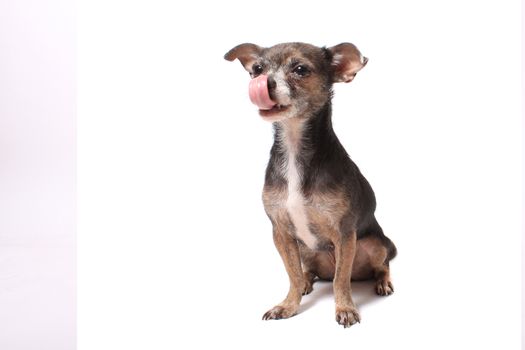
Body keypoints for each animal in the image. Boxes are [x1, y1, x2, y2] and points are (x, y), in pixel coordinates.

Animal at [223, 42, 396, 326]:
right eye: (257, 68)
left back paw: (382, 283)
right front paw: (288, 305)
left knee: (379, 267)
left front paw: (345, 308)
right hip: (305, 249)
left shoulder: (344, 234)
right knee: (310, 272)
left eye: (301, 69)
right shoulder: (281, 233)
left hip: (375, 244)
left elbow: (340, 280)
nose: (263, 81)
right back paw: (306, 282)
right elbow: (292, 274)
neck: (294, 148)